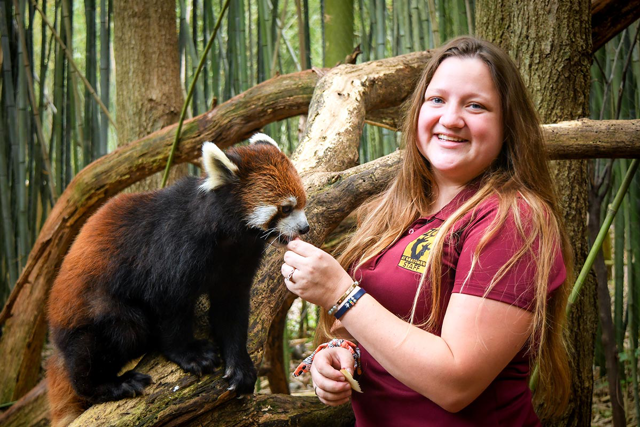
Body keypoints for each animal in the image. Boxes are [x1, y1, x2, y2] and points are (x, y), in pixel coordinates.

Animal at [46, 134, 309, 427]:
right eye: (285, 208)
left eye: (302, 203)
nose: (305, 228)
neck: (228, 236)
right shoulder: (174, 248)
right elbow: (169, 306)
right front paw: (190, 355)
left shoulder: (239, 261)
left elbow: (231, 310)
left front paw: (239, 365)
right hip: (93, 309)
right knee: (118, 332)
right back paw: (110, 384)